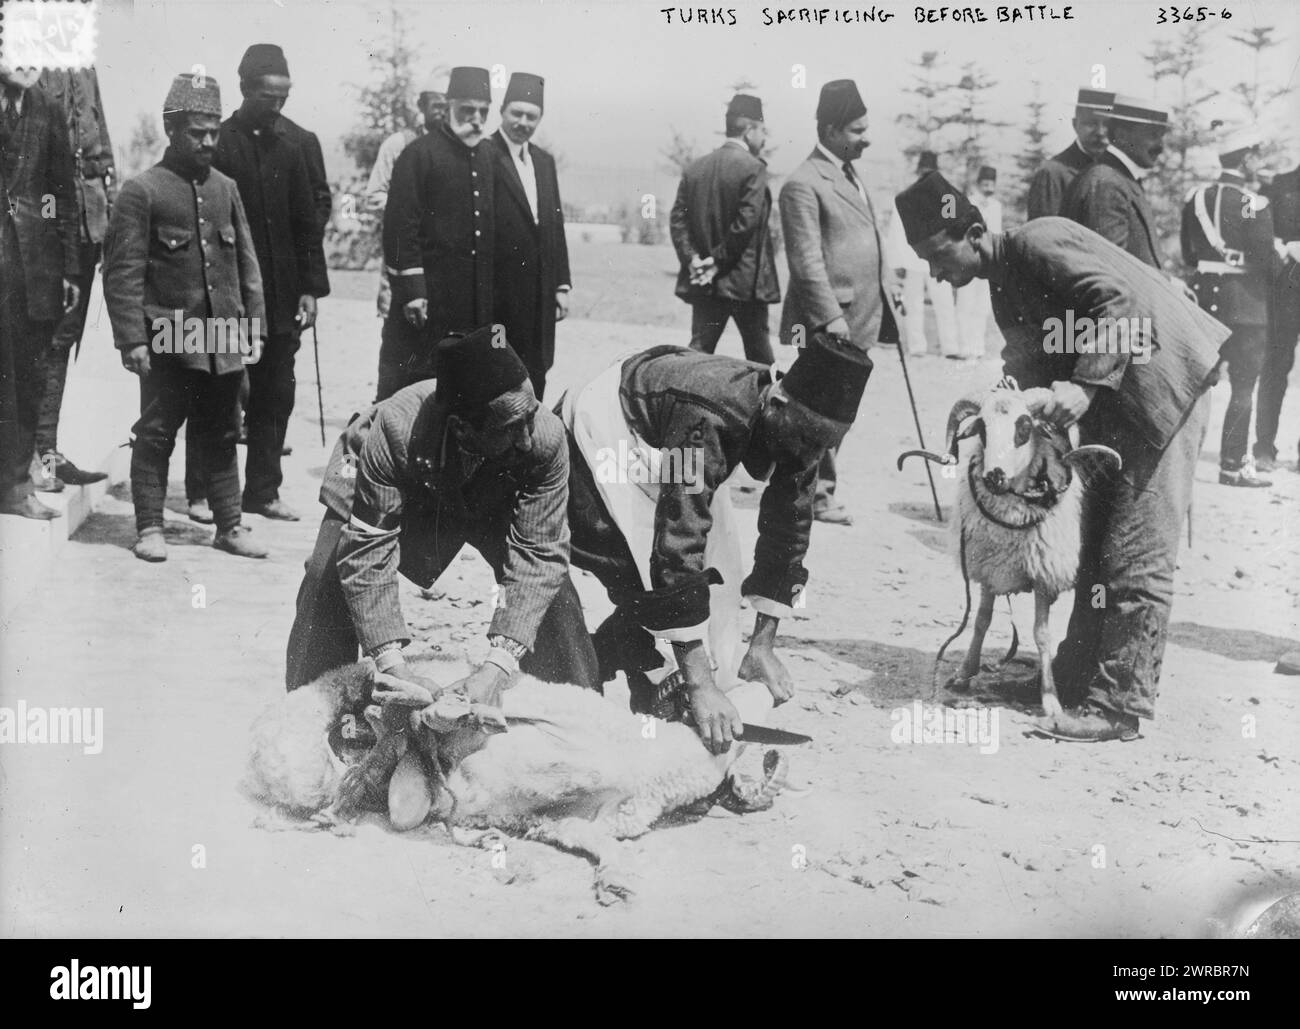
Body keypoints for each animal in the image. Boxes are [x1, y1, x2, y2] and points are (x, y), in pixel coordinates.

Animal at [248, 660, 785, 899]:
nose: (772, 692)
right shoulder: (558, 726)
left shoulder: (567, 822)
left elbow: (595, 840)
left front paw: (614, 880)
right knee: (395, 695)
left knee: (378, 765)